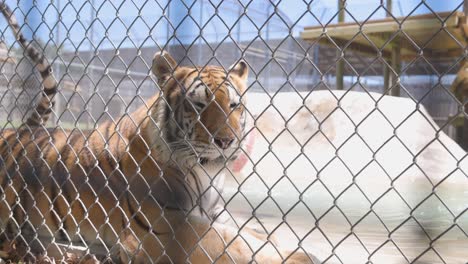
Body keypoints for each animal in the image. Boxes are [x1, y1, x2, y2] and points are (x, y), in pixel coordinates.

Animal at [0, 2, 316, 264]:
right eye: (199, 104)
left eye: (234, 105)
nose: (226, 141)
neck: (206, 173)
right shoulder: (170, 228)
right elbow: (234, 243)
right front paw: (301, 256)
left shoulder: (213, 214)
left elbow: (254, 233)